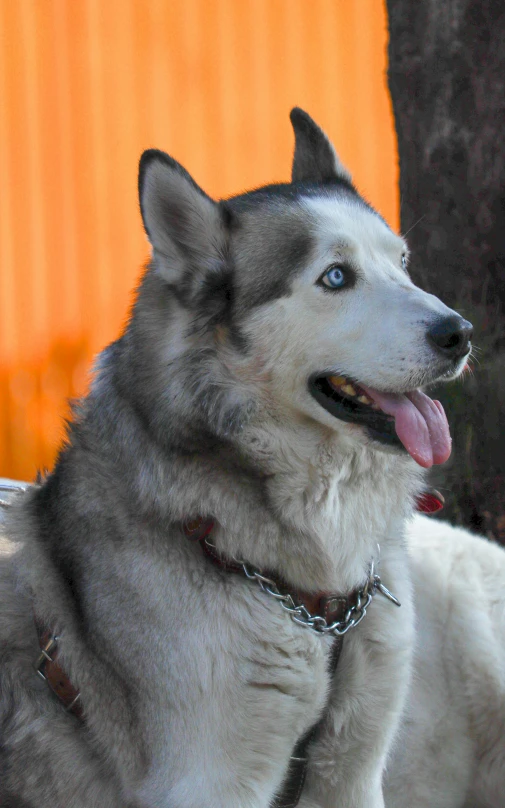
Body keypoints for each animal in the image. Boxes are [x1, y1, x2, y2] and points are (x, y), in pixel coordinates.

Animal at [0, 109, 504, 808]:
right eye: (336, 277)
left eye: (402, 263)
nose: (460, 333)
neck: (322, 608)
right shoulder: (210, 781)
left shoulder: (353, 770)